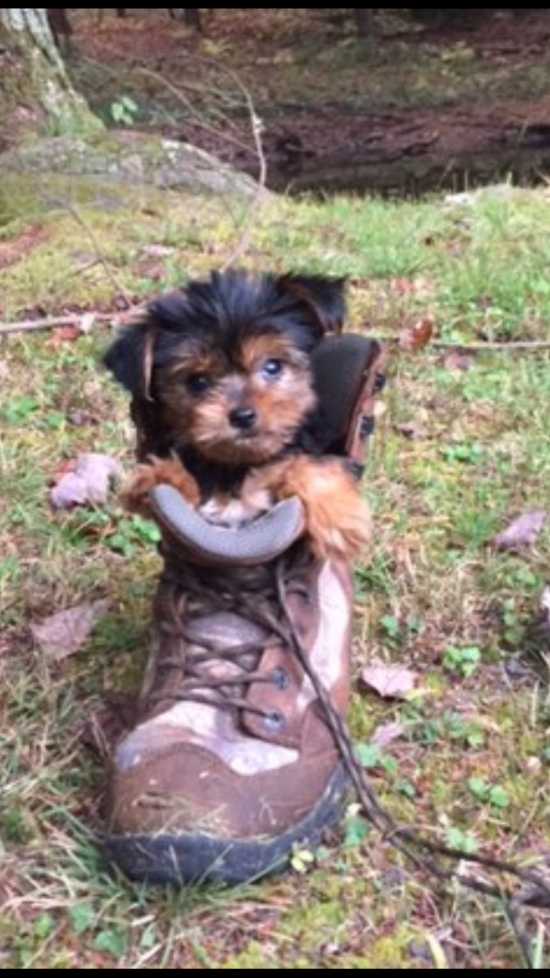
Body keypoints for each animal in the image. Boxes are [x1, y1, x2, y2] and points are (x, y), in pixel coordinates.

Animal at [103, 268, 374, 556]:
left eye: (273, 366)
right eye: (198, 381)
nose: (243, 416)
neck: (238, 467)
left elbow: (306, 462)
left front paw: (338, 515)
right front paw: (157, 478)